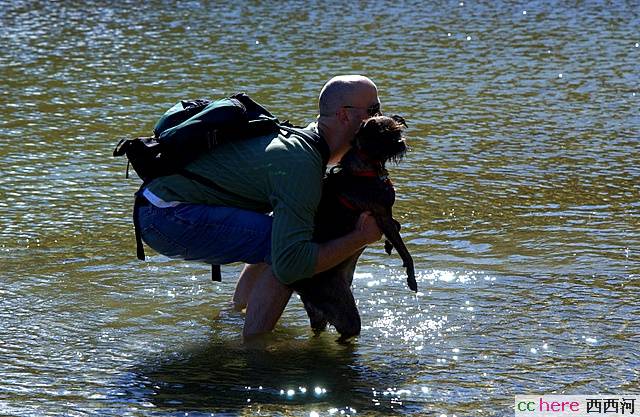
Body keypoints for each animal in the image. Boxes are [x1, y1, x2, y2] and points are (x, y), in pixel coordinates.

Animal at [290, 114, 416, 338]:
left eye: (398, 130)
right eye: (385, 134)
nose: (401, 143)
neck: (368, 166)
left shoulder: (384, 216)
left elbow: (397, 228)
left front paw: (388, 245)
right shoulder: (382, 213)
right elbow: (405, 250)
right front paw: (411, 276)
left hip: (322, 314)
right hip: (342, 311)